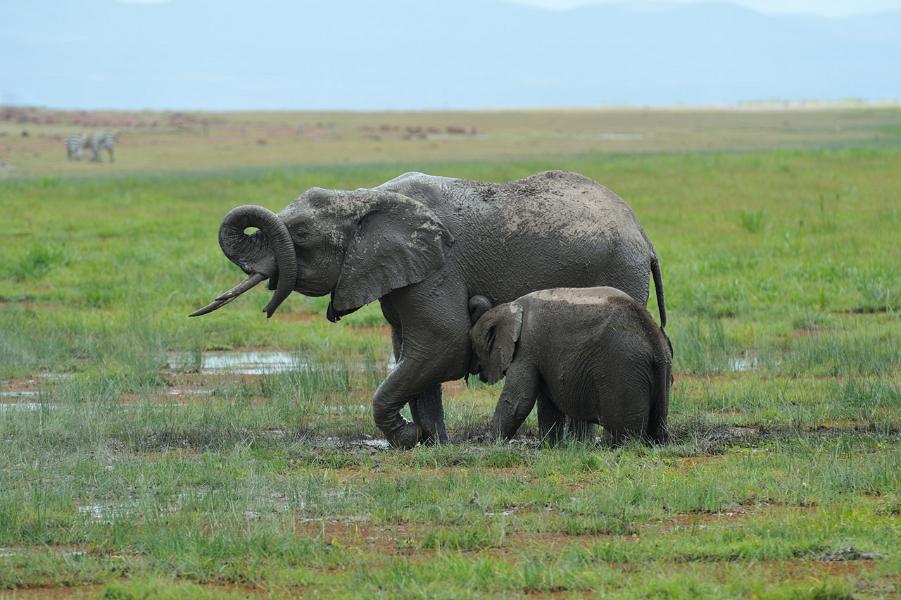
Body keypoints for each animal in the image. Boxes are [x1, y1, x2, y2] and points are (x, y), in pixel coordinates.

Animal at [472, 286, 668, 446]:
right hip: (659, 370)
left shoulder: (526, 350)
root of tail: (653, 337)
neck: (510, 307)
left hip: (623, 368)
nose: (480, 375)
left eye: (476, 349)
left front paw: (491, 443)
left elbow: (518, 400)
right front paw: (551, 447)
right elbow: (547, 404)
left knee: (626, 432)